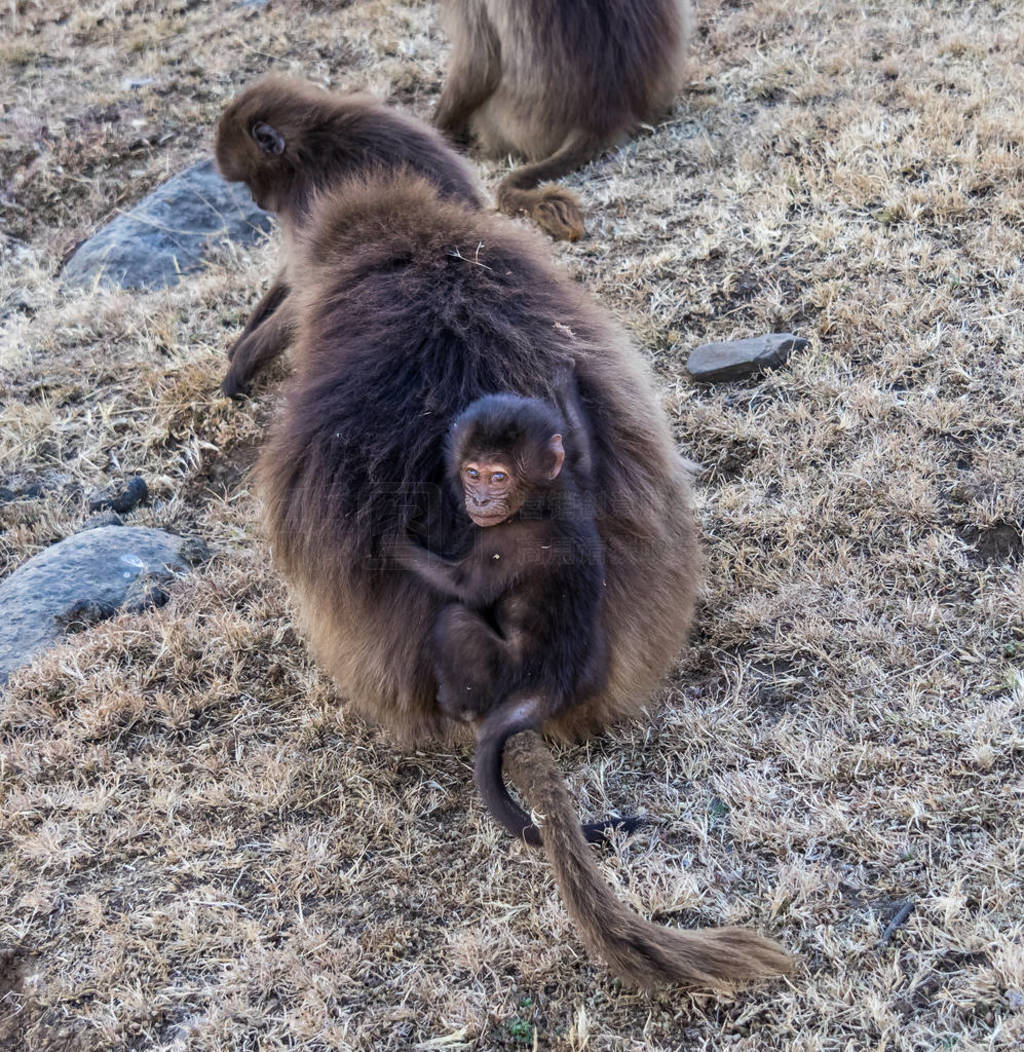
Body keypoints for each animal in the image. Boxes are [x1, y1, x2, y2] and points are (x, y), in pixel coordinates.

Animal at [212, 76, 484, 397]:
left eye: (250, 180)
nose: (257, 201)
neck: (308, 151)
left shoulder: (310, 196)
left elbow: (306, 288)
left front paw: (240, 364)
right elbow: (292, 275)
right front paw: (243, 338)